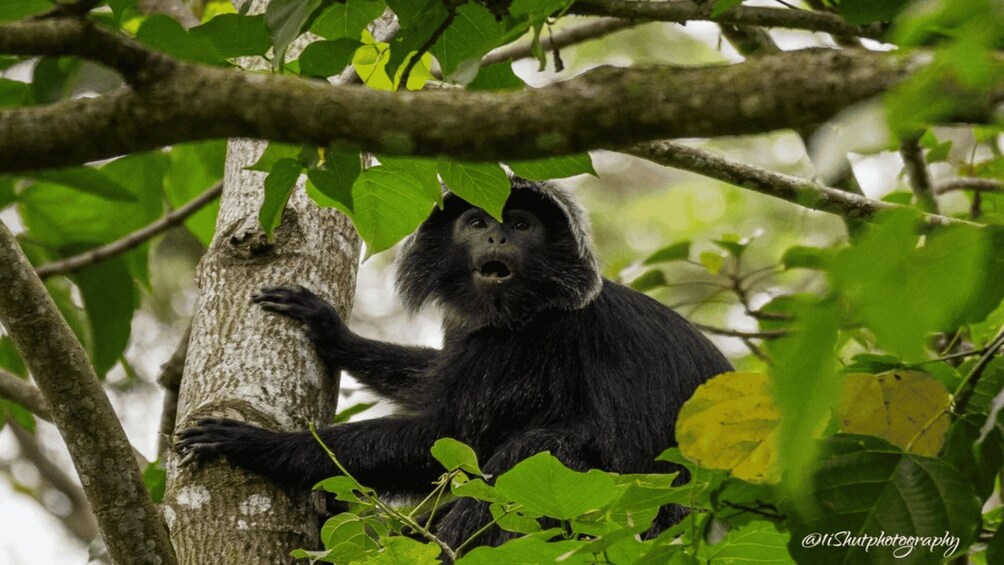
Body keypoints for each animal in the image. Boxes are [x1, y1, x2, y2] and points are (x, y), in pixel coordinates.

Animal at [176, 176, 734, 549]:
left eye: (521, 224)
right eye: (478, 222)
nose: (497, 238)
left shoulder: (534, 340)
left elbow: (450, 436)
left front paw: (259, 446)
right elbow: (432, 392)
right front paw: (334, 333)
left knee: (544, 448)